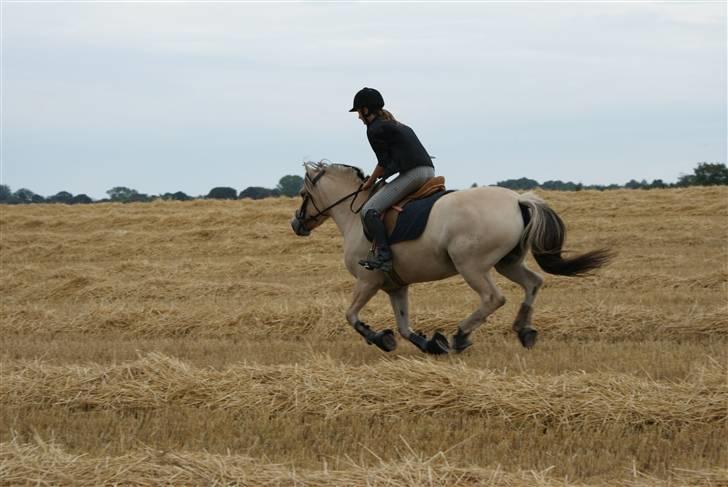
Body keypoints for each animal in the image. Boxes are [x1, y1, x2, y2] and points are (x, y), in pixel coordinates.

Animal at [292, 162, 616, 356]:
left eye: (303, 193)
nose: (296, 224)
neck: (356, 215)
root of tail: (517, 200)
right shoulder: (396, 286)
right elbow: (404, 326)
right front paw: (429, 344)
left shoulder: (368, 280)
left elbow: (352, 316)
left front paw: (382, 339)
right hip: (507, 262)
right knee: (533, 283)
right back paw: (524, 330)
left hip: (471, 266)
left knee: (494, 298)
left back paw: (460, 335)